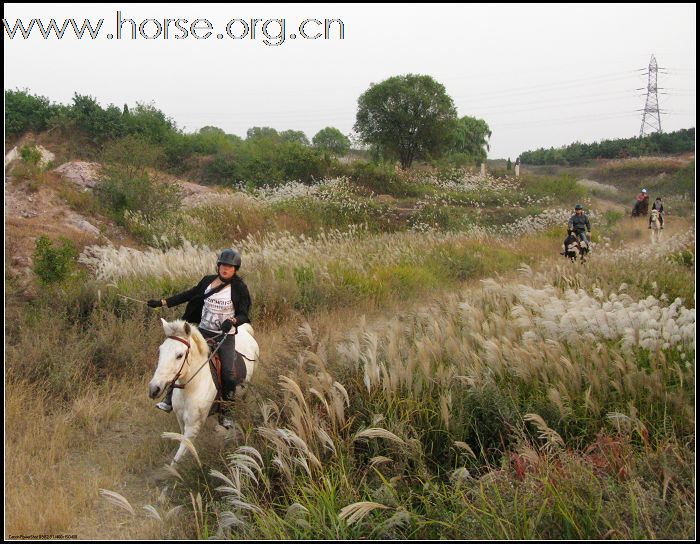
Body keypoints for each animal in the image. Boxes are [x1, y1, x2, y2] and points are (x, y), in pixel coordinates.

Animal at [149, 318, 258, 464]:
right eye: (160, 351)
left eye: (179, 355)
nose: (154, 389)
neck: (192, 387)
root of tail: (245, 329)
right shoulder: (181, 421)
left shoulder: (193, 427)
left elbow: (177, 459)